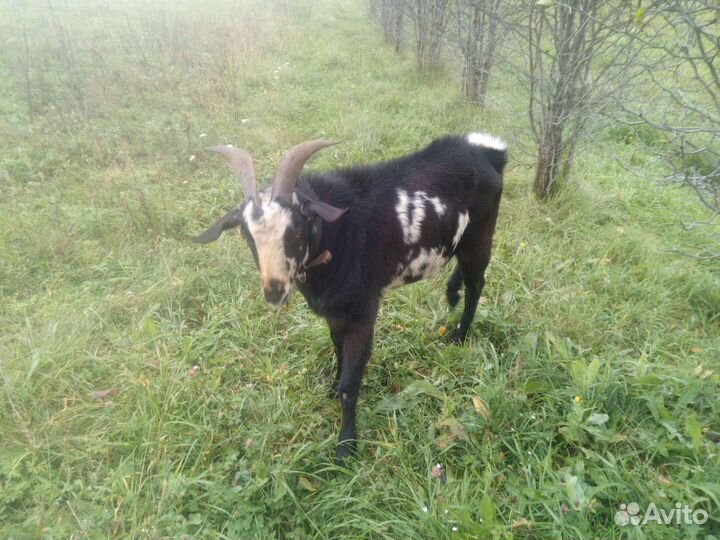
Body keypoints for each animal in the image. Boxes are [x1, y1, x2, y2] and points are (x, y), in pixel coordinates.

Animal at [194, 133, 506, 461]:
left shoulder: (362, 312)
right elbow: (336, 346)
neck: (338, 236)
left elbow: (350, 382)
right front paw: (332, 387)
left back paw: (459, 334)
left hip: (480, 237)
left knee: (476, 285)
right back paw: (451, 293)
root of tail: (487, 150)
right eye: (246, 235)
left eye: (296, 230)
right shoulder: (335, 312)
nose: (274, 289)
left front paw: (345, 446)